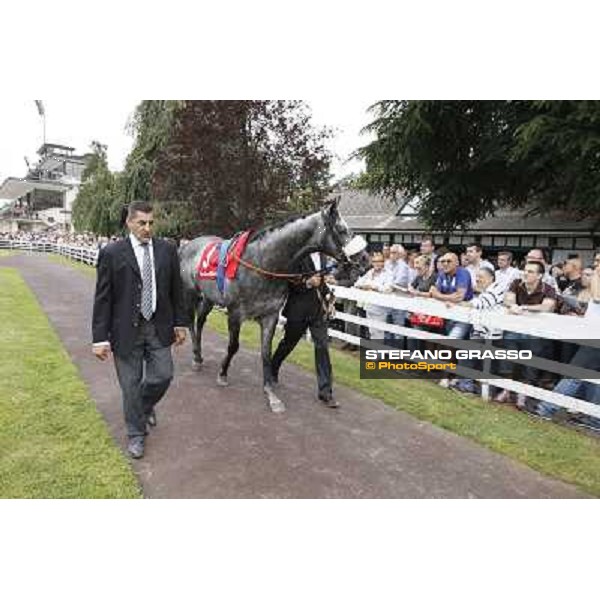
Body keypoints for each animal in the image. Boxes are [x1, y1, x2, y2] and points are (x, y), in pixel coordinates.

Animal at [177, 199, 370, 414]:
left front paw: (270, 393)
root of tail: (187, 245)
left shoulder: (270, 315)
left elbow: (267, 353)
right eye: (342, 229)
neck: (262, 263)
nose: (365, 259)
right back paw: (196, 358)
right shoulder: (235, 313)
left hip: (209, 298)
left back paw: (200, 355)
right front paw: (222, 374)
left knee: (200, 322)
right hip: (189, 293)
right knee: (190, 322)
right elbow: (233, 346)